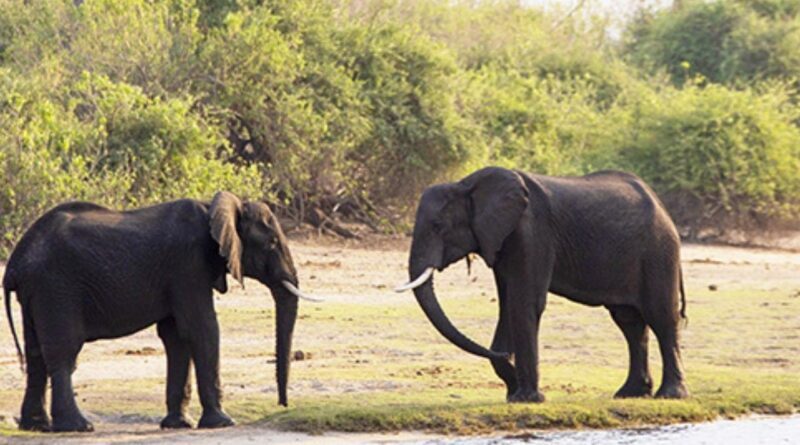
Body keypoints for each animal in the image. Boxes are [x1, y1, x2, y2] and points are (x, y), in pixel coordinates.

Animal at [3, 191, 316, 430]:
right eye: (271, 243)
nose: (283, 404)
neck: (215, 207)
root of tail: (16, 262)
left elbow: (176, 336)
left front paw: (179, 425)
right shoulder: (188, 264)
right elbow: (202, 328)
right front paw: (223, 422)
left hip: (38, 293)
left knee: (35, 355)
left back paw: (36, 426)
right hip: (57, 287)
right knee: (63, 353)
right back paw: (79, 427)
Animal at [398, 166, 688, 402]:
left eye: (438, 225)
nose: (505, 357)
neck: (466, 185)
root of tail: (663, 207)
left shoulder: (532, 234)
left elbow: (524, 303)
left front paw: (527, 399)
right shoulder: (502, 241)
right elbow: (508, 307)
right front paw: (514, 392)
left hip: (659, 252)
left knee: (661, 317)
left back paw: (669, 395)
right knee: (630, 323)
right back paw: (630, 394)